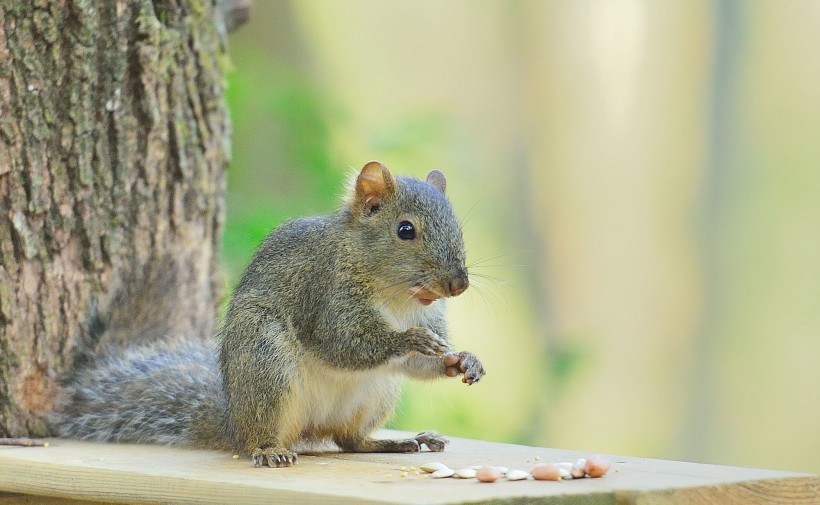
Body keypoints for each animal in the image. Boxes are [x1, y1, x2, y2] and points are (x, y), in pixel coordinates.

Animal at [51, 160, 484, 464]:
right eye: (405, 230)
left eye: (458, 229)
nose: (458, 285)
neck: (397, 298)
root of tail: (233, 421)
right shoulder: (325, 295)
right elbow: (344, 344)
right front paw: (408, 339)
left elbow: (419, 364)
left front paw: (462, 361)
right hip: (265, 362)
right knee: (265, 436)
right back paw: (270, 450)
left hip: (376, 394)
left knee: (348, 439)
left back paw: (394, 442)